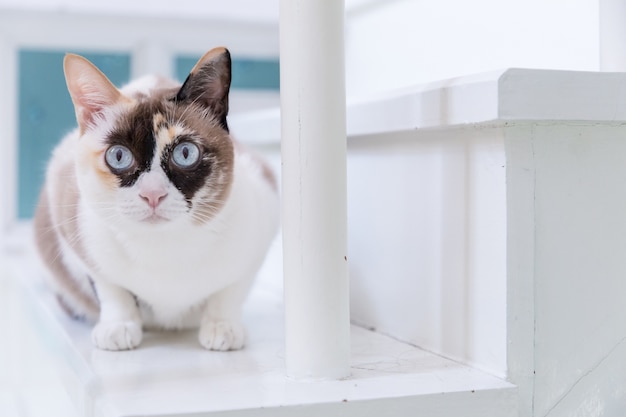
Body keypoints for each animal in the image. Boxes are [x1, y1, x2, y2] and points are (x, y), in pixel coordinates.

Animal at [32, 45, 278, 352]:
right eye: (119, 156)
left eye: (185, 153)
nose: (152, 194)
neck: (163, 248)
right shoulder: (72, 229)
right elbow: (111, 290)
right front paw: (118, 328)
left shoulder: (263, 219)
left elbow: (230, 292)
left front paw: (223, 328)